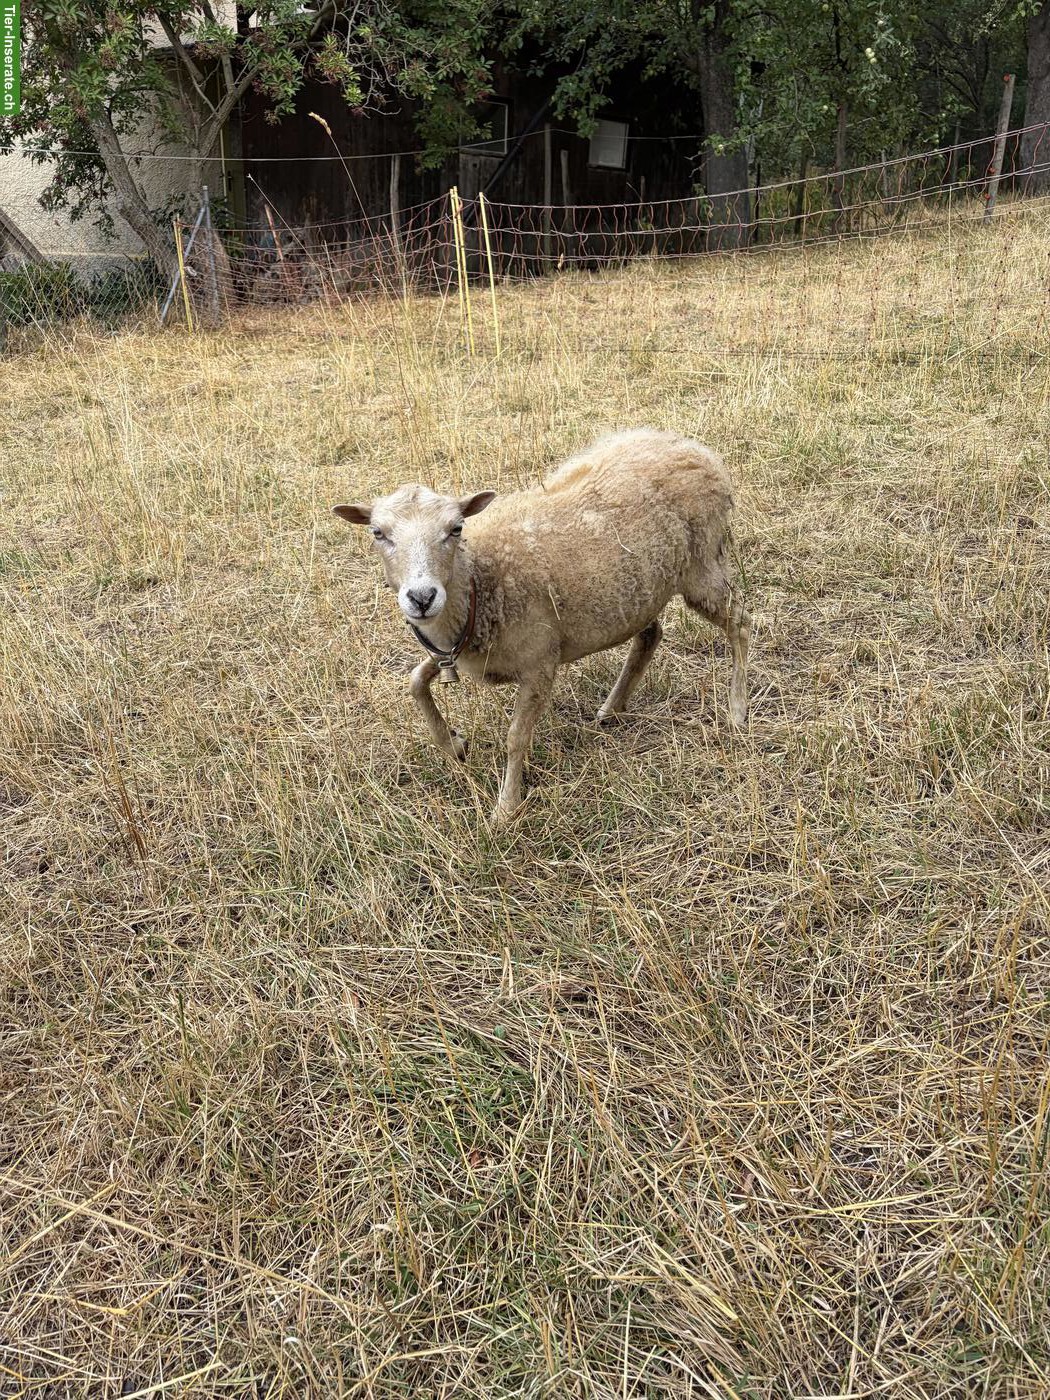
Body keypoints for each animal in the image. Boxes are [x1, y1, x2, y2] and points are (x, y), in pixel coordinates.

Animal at [333, 428, 751, 826]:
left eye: (455, 528)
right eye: (378, 533)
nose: (422, 597)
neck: (480, 585)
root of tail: (693, 448)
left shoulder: (539, 663)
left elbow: (516, 737)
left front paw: (506, 810)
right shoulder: (458, 651)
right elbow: (416, 681)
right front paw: (453, 744)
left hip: (702, 566)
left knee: (741, 624)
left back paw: (737, 710)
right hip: (637, 591)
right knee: (650, 635)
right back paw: (612, 709)